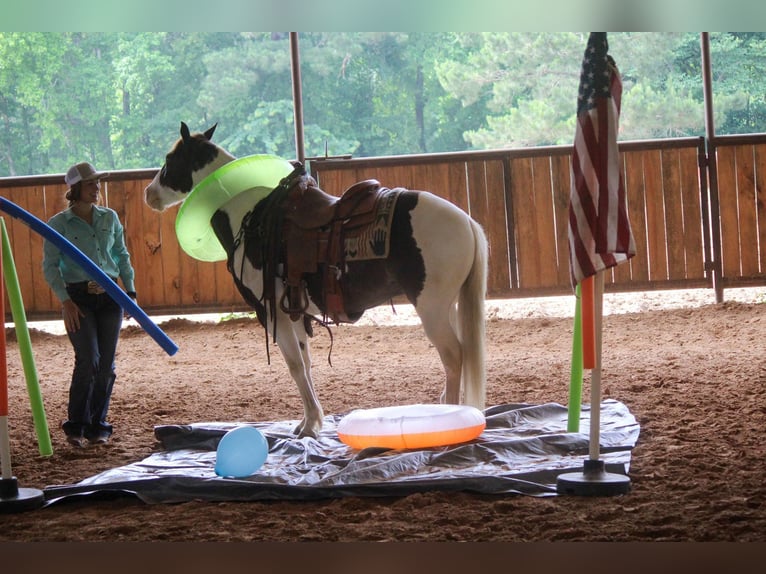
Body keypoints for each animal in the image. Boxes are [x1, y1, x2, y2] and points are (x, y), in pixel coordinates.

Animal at [144, 121, 488, 436]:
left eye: (171, 158)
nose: (149, 194)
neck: (250, 216)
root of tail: (466, 221)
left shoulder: (272, 311)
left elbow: (295, 366)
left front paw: (310, 426)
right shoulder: (294, 311)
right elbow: (306, 363)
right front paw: (310, 421)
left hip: (431, 308)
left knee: (453, 356)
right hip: (448, 306)